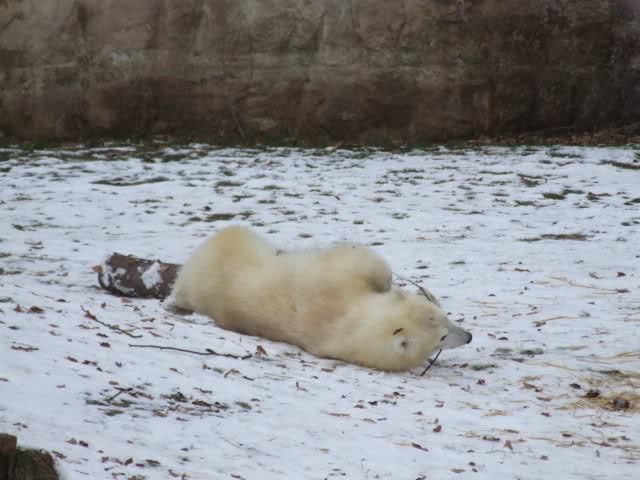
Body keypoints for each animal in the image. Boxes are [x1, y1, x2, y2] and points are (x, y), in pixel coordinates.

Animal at [170, 226, 472, 371]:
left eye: (445, 320)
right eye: (443, 336)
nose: (469, 336)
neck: (349, 322)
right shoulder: (333, 286)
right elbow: (358, 259)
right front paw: (390, 282)